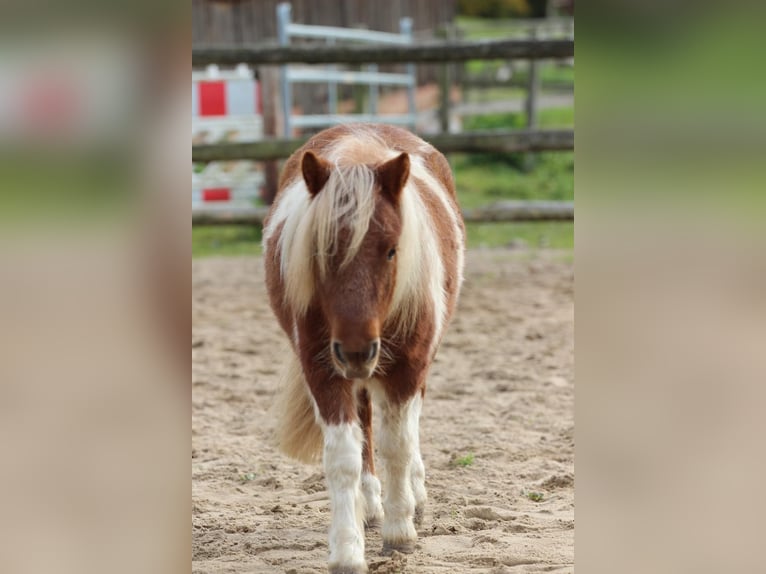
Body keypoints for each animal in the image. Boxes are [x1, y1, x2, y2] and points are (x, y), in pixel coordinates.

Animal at [264, 124, 468, 572]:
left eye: (392, 250)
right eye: (319, 249)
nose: (357, 350)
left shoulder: (409, 368)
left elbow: (398, 447)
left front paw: (400, 532)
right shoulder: (323, 371)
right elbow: (344, 457)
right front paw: (347, 550)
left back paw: (414, 497)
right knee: (367, 427)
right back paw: (372, 506)